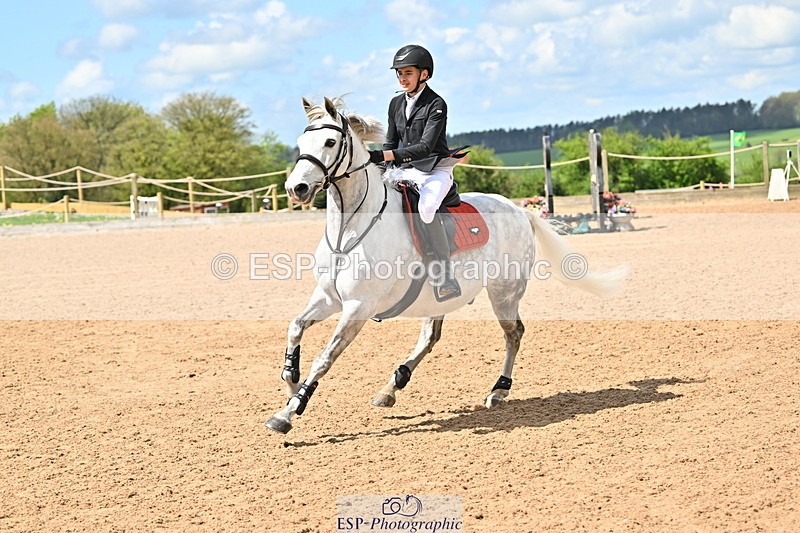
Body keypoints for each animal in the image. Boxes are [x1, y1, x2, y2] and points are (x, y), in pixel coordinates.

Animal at [265, 96, 626, 434]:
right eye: (301, 142)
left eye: (329, 142)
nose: (295, 189)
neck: (349, 227)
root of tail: (520, 211)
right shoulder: (328, 297)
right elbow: (295, 327)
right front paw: (292, 383)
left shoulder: (358, 307)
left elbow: (325, 358)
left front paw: (288, 413)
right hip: (437, 297)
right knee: (431, 337)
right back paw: (391, 387)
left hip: (504, 292)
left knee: (514, 333)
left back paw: (498, 390)